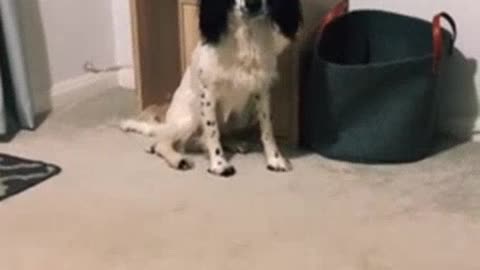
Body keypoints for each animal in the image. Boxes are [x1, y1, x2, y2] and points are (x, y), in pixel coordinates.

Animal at [123, 0, 304, 177]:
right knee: (164, 142)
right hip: (190, 117)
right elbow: (212, 131)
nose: (253, 4)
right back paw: (178, 159)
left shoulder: (262, 90)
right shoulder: (208, 93)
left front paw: (275, 159)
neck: (247, 33)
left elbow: (267, 130)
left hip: (245, 115)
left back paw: (233, 143)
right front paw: (219, 164)